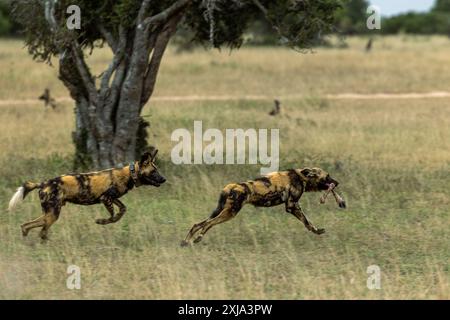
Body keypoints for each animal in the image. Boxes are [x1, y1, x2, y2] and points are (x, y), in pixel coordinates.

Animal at [7, 149, 166, 239]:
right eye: (154, 171)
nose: (164, 179)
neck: (129, 174)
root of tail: (43, 183)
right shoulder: (106, 198)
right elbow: (112, 217)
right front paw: (101, 222)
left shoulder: (112, 199)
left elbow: (121, 211)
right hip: (52, 215)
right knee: (40, 230)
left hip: (49, 214)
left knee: (27, 226)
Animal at [181, 166, 346, 246]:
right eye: (327, 176)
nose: (337, 183)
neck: (301, 177)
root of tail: (231, 186)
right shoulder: (292, 206)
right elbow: (307, 222)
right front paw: (317, 231)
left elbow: (308, 224)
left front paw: (317, 231)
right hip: (229, 213)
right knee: (208, 224)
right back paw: (198, 238)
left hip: (219, 211)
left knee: (197, 224)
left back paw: (185, 242)